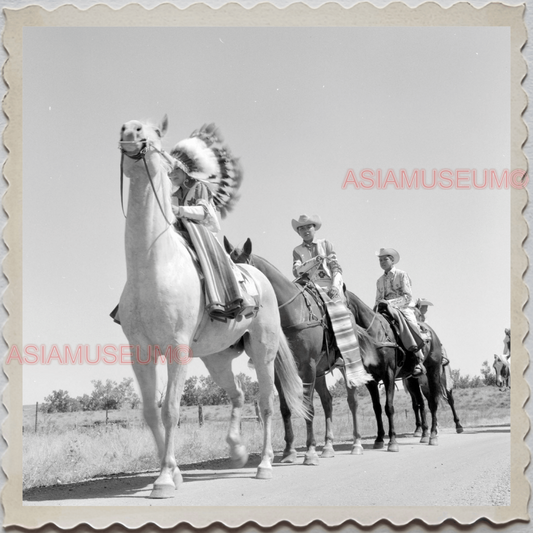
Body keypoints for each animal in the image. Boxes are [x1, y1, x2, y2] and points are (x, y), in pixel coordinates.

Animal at [118, 114, 306, 496]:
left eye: (154, 131)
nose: (130, 131)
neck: (153, 266)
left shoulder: (176, 349)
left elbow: (171, 410)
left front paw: (164, 479)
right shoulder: (140, 352)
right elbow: (150, 412)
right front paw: (173, 472)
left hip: (263, 352)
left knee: (267, 403)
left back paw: (264, 464)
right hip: (216, 359)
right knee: (238, 395)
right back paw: (237, 450)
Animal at [224, 239, 378, 464]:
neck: (293, 312)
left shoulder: (308, 366)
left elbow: (309, 407)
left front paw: (310, 452)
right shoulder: (281, 370)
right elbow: (285, 409)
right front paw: (289, 451)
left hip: (344, 366)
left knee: (352, 401)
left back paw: (356, 444)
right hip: (321, 371)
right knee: (328, 401)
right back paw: (328, 447)